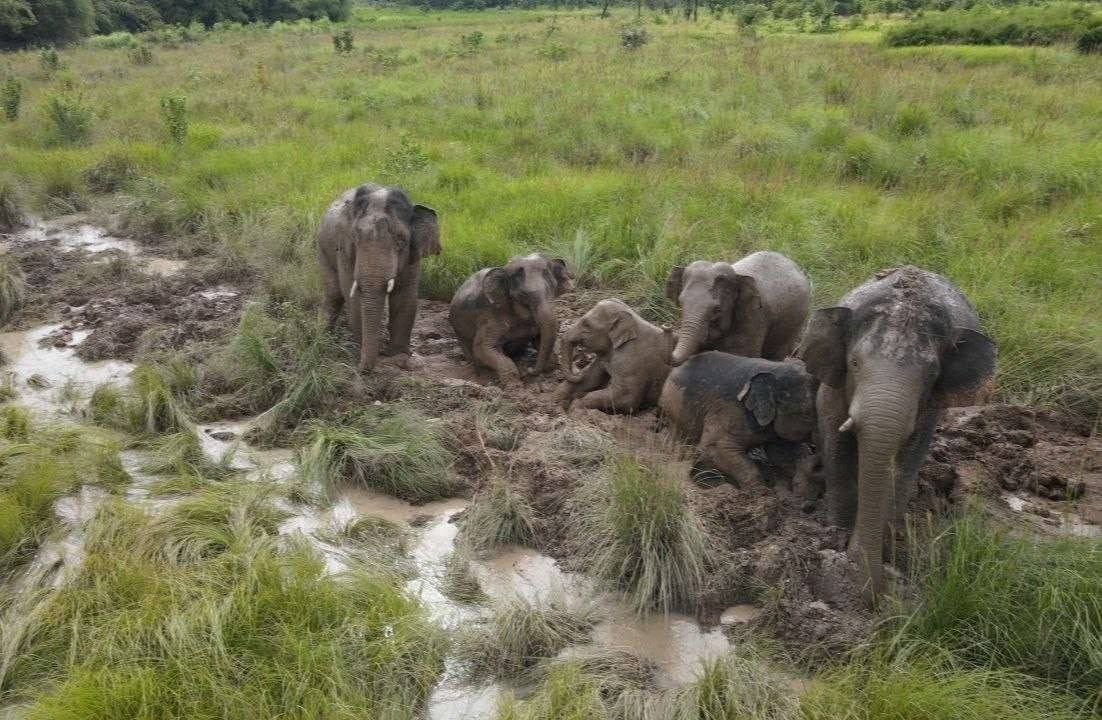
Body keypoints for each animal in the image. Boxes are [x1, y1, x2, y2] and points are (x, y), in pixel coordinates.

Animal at [318, 184, 441, 372]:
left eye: (401, 240)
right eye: (355, 237)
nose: (363, 369)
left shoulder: (413, 255)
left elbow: (405, 296)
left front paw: (399, 355)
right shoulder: (344, 250)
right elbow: (352, 295)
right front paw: (360, 350)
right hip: (322, 249)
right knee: (334, 294)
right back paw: (323, 336)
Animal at [448, 254, 573, 387]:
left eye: (553, 288)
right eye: (523, 295)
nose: (528, 370)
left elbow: (540, 339)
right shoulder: (489, 314)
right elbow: (482, 348)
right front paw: (514, 385)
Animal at [659, 351, 818, 493]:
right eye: (809, 414)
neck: (775, 370)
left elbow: (782, 453)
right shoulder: (730, 410)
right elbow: (714, 449)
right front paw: (760, 496)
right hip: (675, 408)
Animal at [665, 251, 811, 366]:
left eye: (717, 309)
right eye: (680, 302)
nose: (666, 327)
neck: (737, 276)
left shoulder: (755, 317)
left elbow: (742, 355)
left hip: (796, 322)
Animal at [799, 266, 996, 600]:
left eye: (932, 374)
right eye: (854, 363)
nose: (866, 588)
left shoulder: (930, 405)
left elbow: (908, 461)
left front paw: (886, 544)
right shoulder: (833, 385)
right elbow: (836, 441)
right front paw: (836, 534)